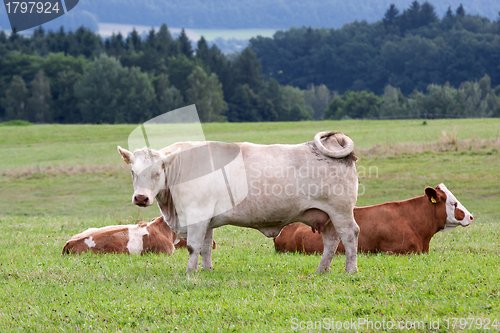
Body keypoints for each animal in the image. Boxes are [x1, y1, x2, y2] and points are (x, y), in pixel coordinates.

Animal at [117, 130, 360, 272]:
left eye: (157, 173)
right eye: (133, 171)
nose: (141, 197)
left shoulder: (196, 216)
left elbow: (193, 247)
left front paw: (189, 273)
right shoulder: (207, 220)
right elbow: (206, 247)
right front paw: (206, 270)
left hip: (341, 212)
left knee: (349, 236)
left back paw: (350, 269)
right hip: (325, 216)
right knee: (331, 241)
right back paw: (322, 270)